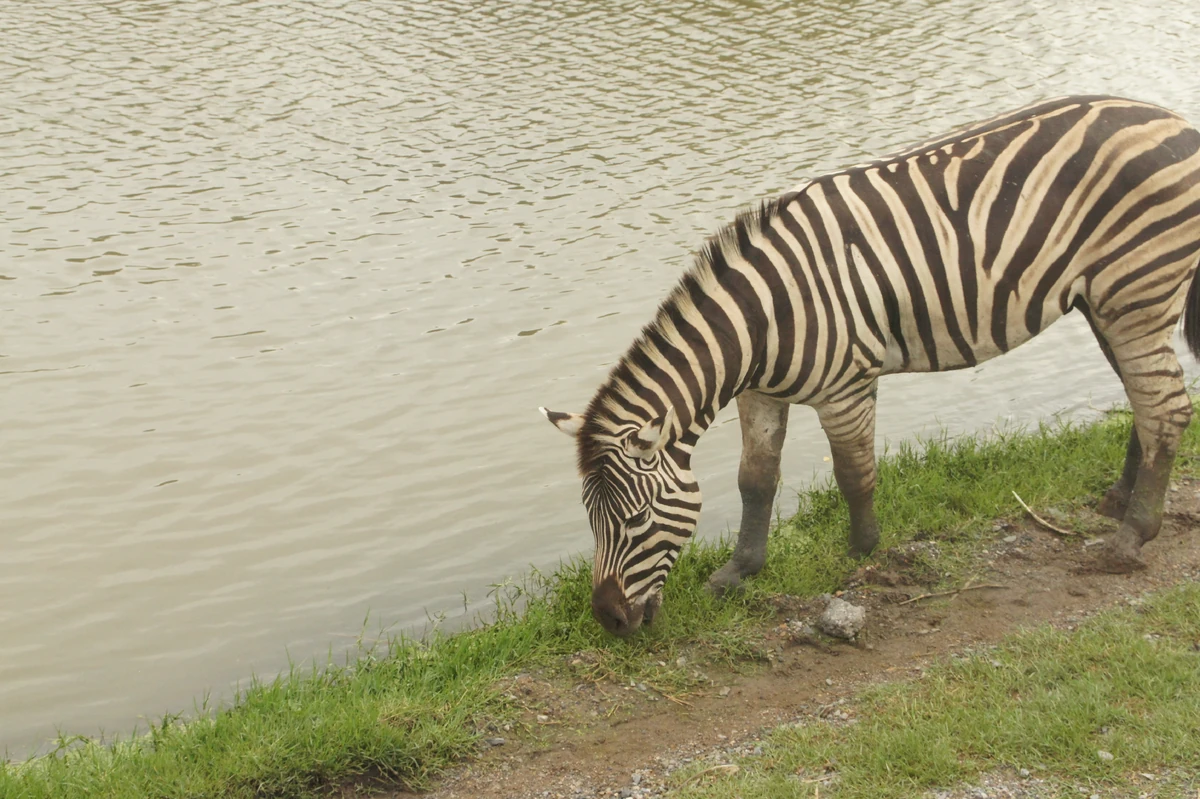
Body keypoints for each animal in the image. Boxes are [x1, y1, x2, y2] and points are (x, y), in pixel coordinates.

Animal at [541, 95, 1200, 637]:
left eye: (635, 520)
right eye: (591, 520)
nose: (609, 621)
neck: (762, 319)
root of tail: (1173, 119)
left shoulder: (847, 386)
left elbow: (854, 474)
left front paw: (862, 551)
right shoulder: (759, 393)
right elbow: (756, 481)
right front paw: (739, 572)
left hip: (1137, 294)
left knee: (1166, 409)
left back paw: (1131, 538)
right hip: (1106, 304)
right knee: (1144, 401)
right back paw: (1119, 500)